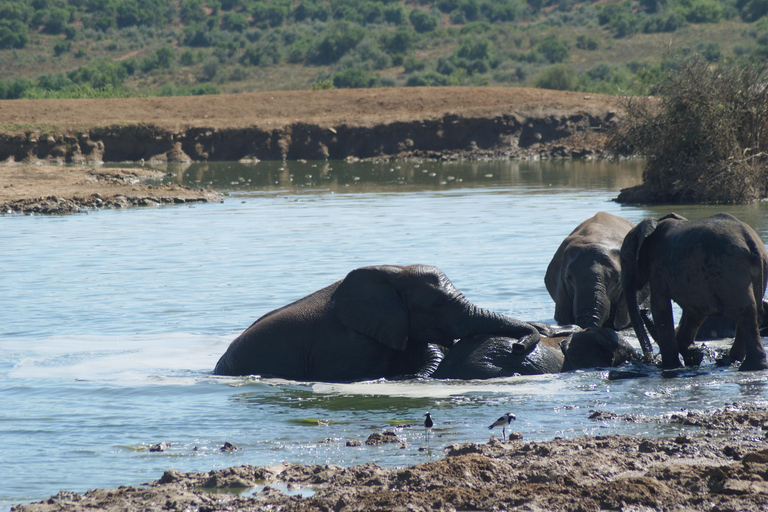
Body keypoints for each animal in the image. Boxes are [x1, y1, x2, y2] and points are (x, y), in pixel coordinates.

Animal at [620, 213, 768, 371]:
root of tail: (750, 240)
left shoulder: (658, 267)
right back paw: (730, 361)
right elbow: (695, 312)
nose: (648, 359)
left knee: (744, 312)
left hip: (730, 269)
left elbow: (660, 308)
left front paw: (669, 366)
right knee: (751, 310)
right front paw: (694, 356)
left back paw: (748, 366)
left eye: (624, 260)